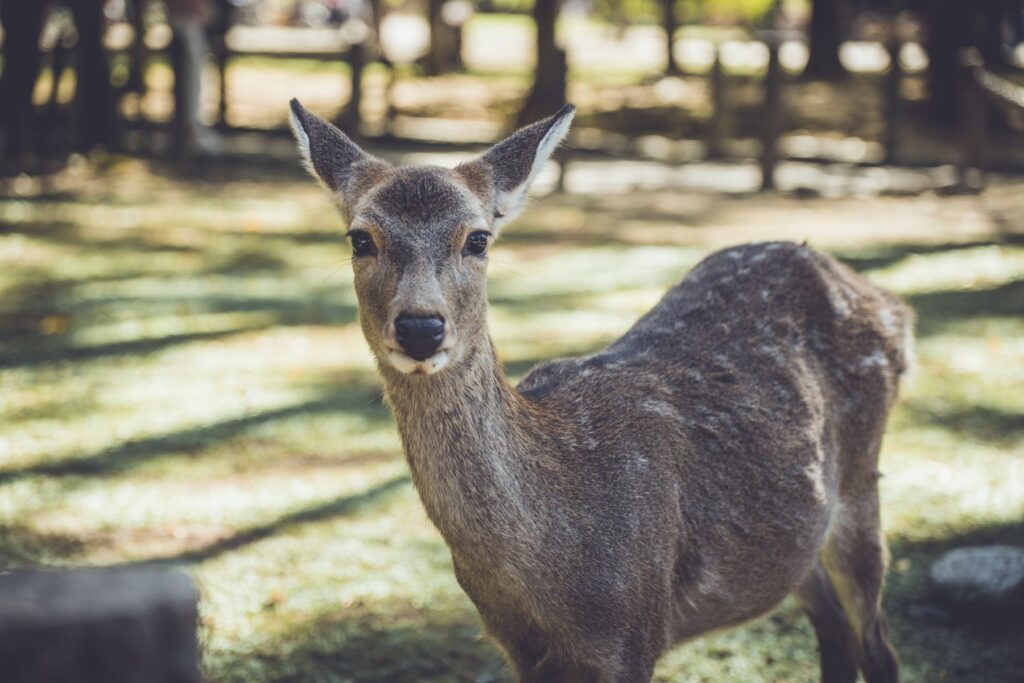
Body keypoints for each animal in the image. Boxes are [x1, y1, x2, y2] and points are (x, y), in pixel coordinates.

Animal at [288, 99, 911, 683]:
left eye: (478, 239)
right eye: (360, 239)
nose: (421, 326)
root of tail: (890, 303)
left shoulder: (634, 632)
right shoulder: (520, 650)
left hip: (861, 484)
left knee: (879, 645)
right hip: (800, 538)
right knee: (835, 633)